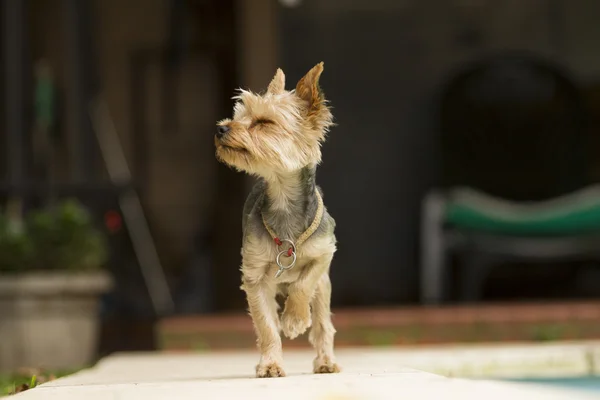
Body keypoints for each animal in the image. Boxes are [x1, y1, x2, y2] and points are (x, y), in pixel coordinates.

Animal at [214, 62, 338, 378]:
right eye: (238, 116)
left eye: (263, 122)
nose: (221, 128)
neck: (283, 203)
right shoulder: (255, 277)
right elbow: (267, 327)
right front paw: (270, 364)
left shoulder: (324, 254)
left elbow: (303, 285)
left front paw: (294, 320)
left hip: (324, 288)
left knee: (323, 323)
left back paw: (326, 361)